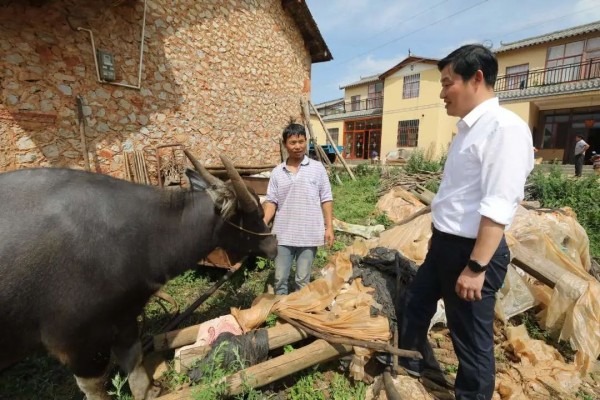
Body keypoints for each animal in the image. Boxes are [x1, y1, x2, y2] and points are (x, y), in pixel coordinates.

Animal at [0, 152, 276, 398]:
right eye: (255, 212)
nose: (273, 243)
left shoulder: (124, 316)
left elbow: (134, 359)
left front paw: (148, 390)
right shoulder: (76, 343)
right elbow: (95, 387)